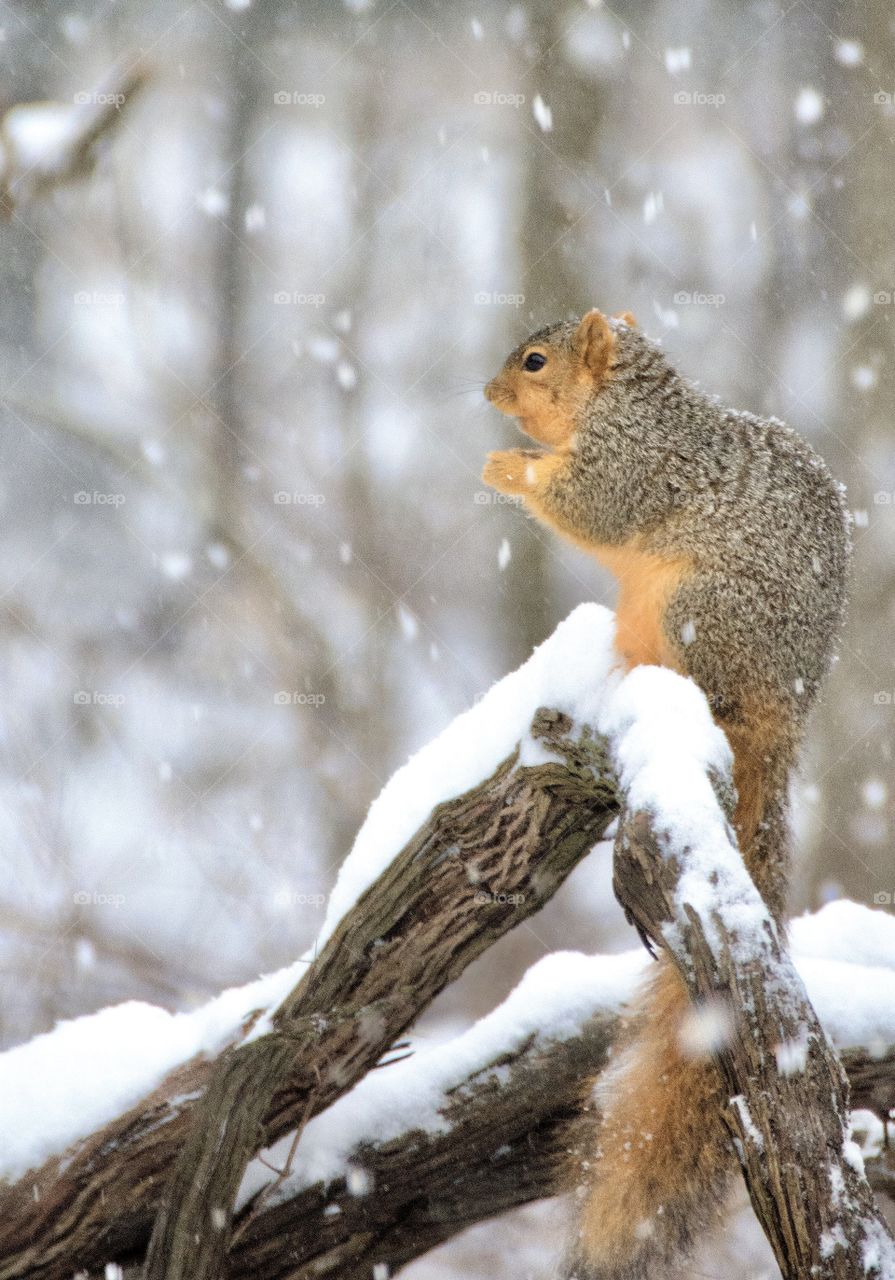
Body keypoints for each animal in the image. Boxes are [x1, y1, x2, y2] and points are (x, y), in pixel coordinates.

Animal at [482, 309, 850, 1279]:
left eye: (536, 361)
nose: (487, 393)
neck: (623, 402)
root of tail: (785, 715)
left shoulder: (633, 463)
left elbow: (587, 504)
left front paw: (503, 467)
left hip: (700, 609)